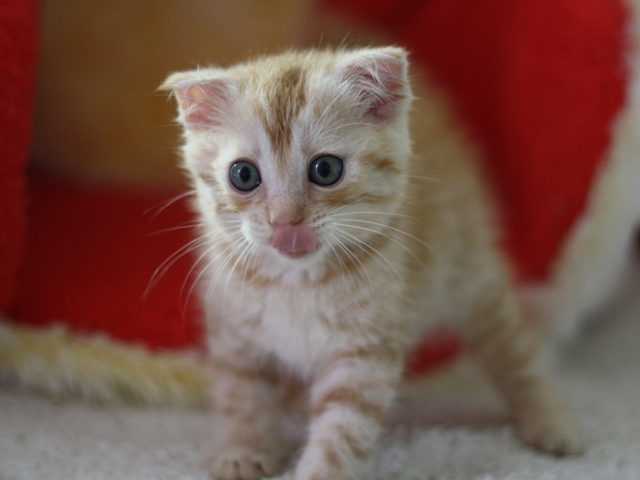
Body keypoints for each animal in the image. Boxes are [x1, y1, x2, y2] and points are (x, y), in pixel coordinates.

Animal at [162, 47, 584, 480]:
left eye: (326, 169)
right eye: (243, 175)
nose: (284, 222)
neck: (296, 282)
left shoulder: (363, 351)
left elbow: (344, 426)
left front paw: (321, 473)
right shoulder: (234, 331)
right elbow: (241, 393)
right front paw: (244, 448)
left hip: (472, 277)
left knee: (515, 351)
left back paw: (549, 419)